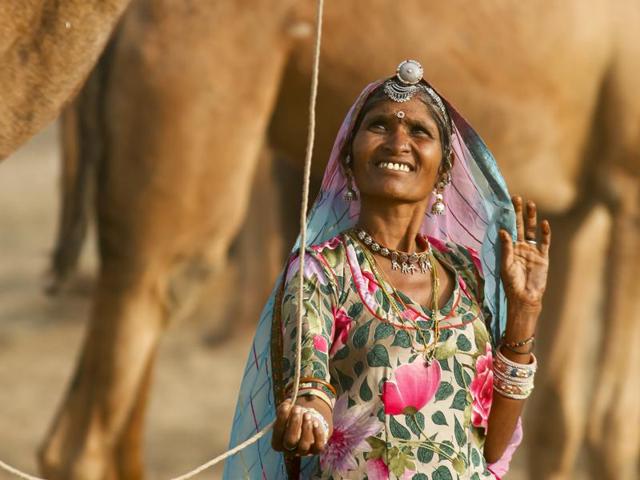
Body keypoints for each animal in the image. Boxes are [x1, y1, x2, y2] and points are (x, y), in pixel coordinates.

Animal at [36, 1, 640, 479]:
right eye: (383, 126)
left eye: (417, 130)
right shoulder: (629, 187)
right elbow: (612, 427)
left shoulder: (578, 209)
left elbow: (557, 419)